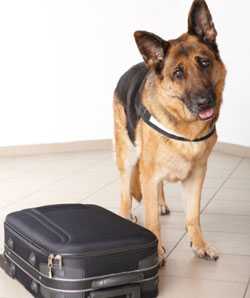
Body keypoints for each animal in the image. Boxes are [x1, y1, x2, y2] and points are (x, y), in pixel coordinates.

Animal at [113, 0, 227, 262]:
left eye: (204, 62)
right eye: (178, 73)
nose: (205, 102)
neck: (187, 129)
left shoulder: (196, 175)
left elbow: (193, 215)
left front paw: (199, 244)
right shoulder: (148, 172)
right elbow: (152, 221)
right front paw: (156, 251)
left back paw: (161, 203)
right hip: (127, 156)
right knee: (125, 192)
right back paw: (126, 215)